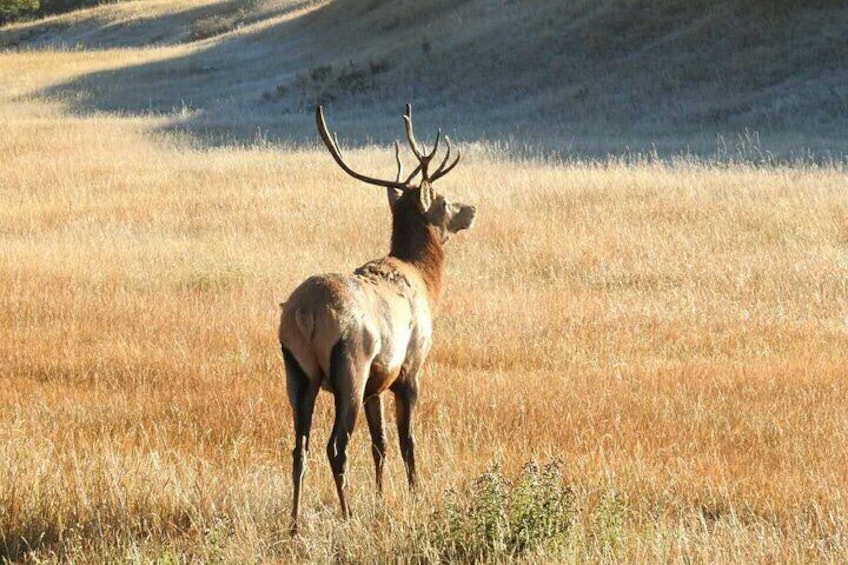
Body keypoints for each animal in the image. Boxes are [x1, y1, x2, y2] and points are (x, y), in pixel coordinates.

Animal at [278, 103, 476, 532]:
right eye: (443, 201)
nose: (471, 209)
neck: (424, 280)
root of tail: (304, 314)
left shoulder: (376, 385)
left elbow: (379, 444)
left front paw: (382, 498)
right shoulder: (409, 367)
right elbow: (406, 442)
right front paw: (416, 495)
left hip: (297, 372)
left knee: (299, 447)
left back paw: (295, 523)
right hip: (351, 364)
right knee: (335, 446)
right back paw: (347, 514)